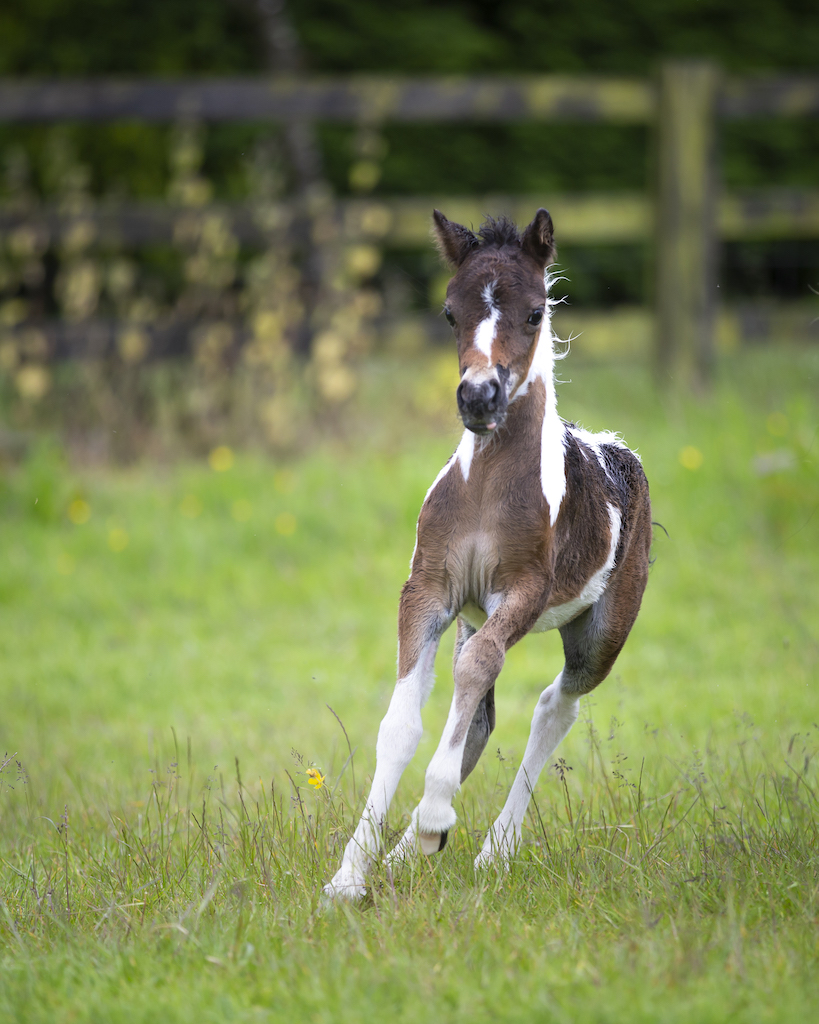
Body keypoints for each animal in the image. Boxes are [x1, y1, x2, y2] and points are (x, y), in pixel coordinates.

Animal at [324, 208, 652, 901]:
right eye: (450, 313)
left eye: (533, 312)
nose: (479, 397)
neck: (486, 490)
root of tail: (617, 449)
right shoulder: (430, 591)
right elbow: (402, 725)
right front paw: (350, 876)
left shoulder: (523, 592)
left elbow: (477, 673)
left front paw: (434, 818)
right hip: (473, 616)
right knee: (479, 718)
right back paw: (407, 853)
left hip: (600, 636)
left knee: (556, 706)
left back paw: (490, 851)